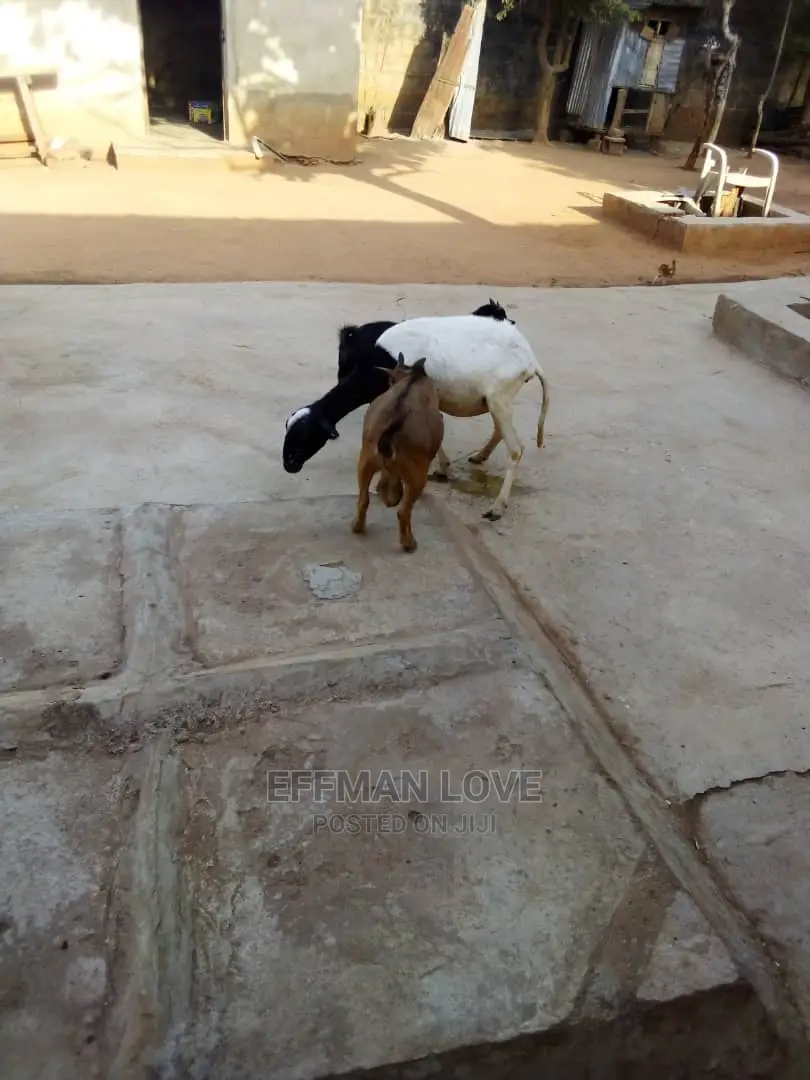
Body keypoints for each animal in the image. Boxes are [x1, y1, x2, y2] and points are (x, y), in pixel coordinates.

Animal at [351, 354, 443, 553]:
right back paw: (409, 543)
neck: (411, 376)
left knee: (363, 499)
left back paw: (357, 526)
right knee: (403, 511)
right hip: (417, 475)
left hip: (365, 461)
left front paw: (386, 492)